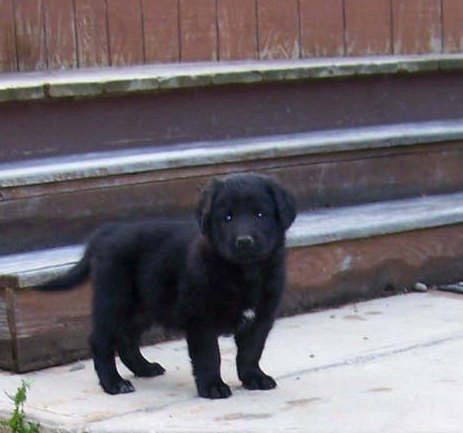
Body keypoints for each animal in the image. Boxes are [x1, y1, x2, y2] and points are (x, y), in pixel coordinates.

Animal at [38, 172, 296, 398]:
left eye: (260, 214)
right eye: (227, 218)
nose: (244, 241)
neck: (244, 272)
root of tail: (106, 232)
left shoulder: (261, 317)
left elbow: (251, 351)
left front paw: (254, 378)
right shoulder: (201, 319)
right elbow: (209, 355)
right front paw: (213, 386)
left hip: (144, 306)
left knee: (126, 340)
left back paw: (144, 368)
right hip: (113, 300)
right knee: (101, 342)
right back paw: (114, 383)